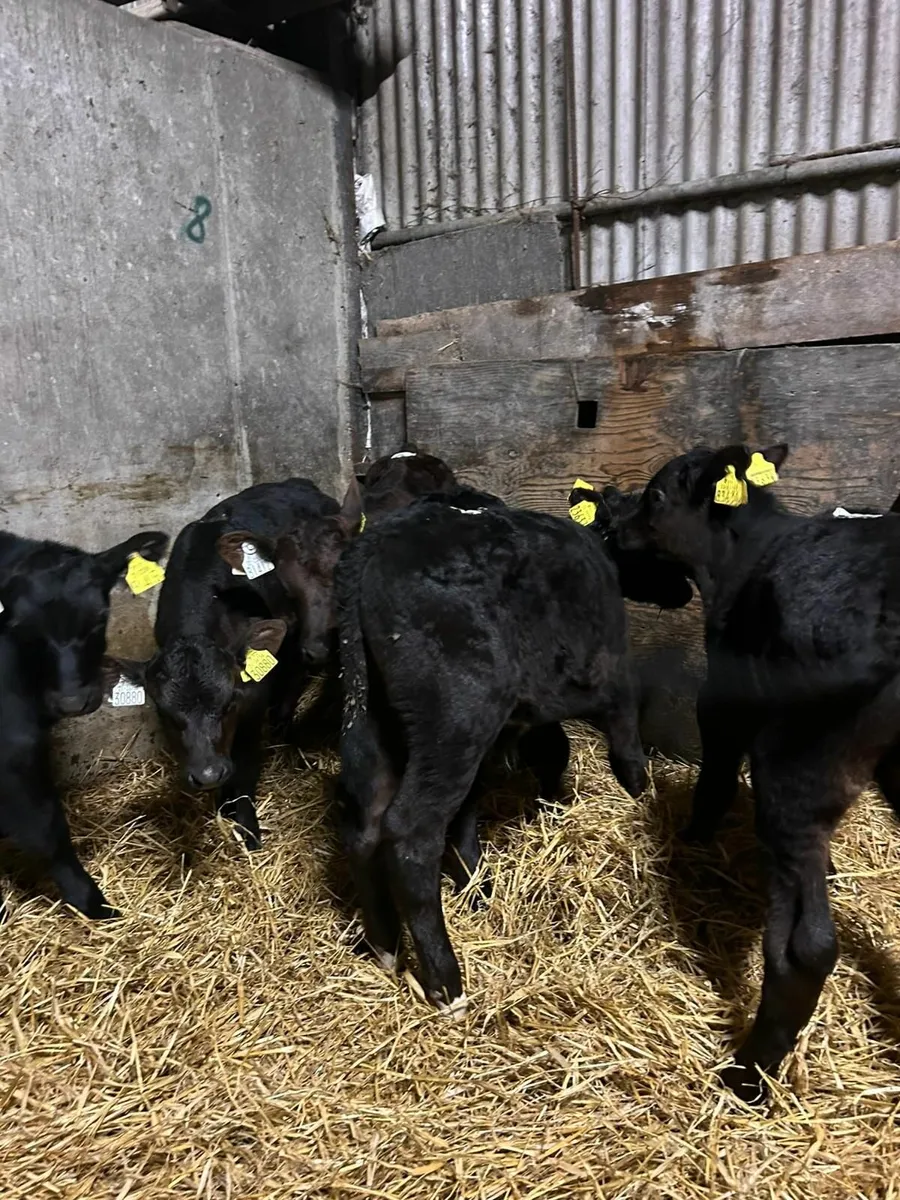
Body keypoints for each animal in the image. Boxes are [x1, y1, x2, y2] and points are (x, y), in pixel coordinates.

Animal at [0, 528, 169, 917]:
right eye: (24, 631)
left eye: (97, 621)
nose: (72, 702)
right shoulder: (15, 747)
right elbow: (47, 828)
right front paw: (92, 902)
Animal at [105, 479, 357, 850]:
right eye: (166, 714)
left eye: (228, 705)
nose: (208, 774)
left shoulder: (252, 703)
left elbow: (246, 766)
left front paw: (248, 831)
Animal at [334, 498, 649, 1016]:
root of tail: (377, 538)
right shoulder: (610, 679)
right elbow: (619, 747)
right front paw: (635, 797)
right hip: (459, 712)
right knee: (411, 831)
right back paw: (447, 986)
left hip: (367, 716)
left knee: (366, 821)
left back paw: (385, 947)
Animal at [611, 442, 900, 1102]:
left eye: (656, 496)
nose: (617, 529)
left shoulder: (722, 702)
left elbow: (714, 780)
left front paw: (694, 840)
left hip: (794, 767)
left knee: (807, 947)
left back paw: (747, 1075)